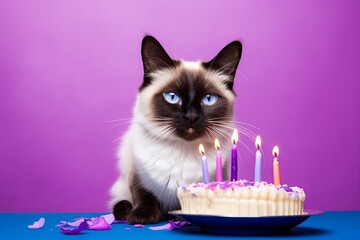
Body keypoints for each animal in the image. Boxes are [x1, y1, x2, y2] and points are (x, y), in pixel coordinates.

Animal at [110, 35, 242, 223]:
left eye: (208, 99)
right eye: (172, 97)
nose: (191, 116)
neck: (182, 150)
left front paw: (184, 215)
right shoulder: (137, 172)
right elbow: (143, 193)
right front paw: (142, 216)